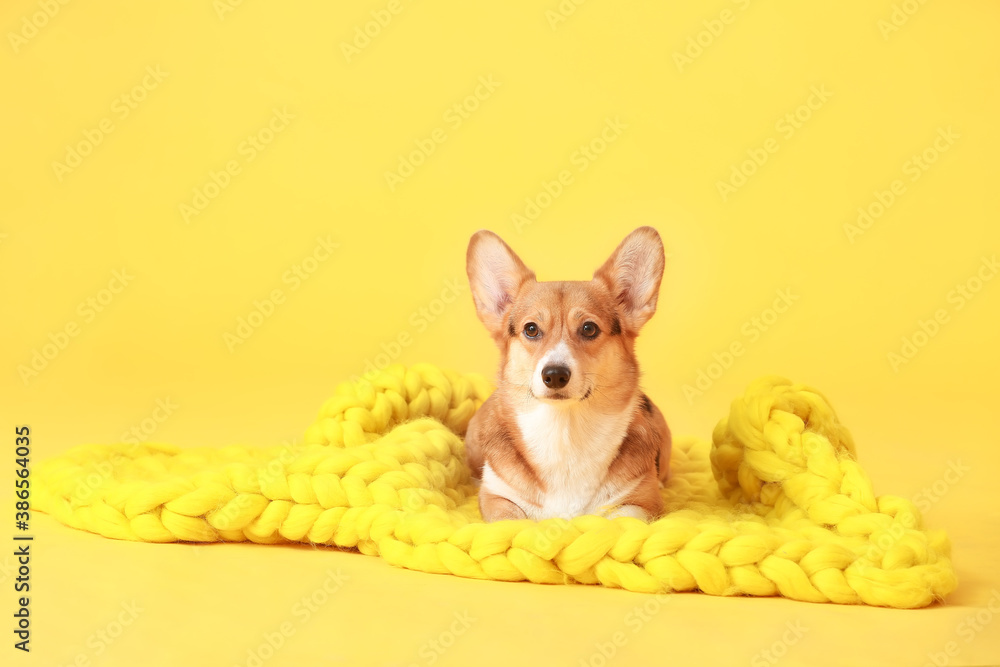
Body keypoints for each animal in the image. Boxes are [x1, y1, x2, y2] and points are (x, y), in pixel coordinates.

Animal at [462, 228, 672, 520]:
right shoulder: (496, 497)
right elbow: (510, 519)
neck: (564, 431)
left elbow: (621, 518)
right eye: (531, 329)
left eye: (589, 328)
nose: (554, 375)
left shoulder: (643, 502)